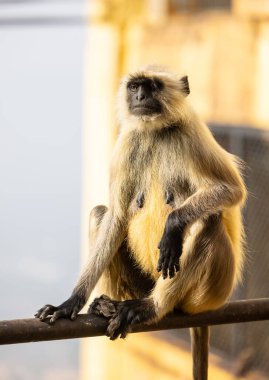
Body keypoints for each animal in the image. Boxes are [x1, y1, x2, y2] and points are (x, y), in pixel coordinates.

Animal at [35, 66, 245, 380]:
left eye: (153, 86)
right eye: (135, 87)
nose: (140, 97)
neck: (155, 132)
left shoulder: (189, 135)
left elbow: (231, 191)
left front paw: (173, 226)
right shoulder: (127, 142)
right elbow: (116, 216)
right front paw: (71, 302)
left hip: (208, 294)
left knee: (207, 220)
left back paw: (151, 307)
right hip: (142, 283)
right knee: (100, 213)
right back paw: (109, 305)